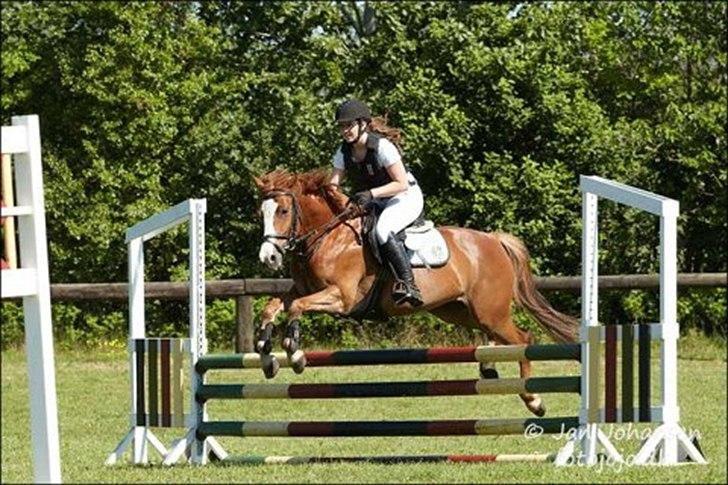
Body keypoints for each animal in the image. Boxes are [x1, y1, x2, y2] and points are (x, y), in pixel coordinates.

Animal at [252, 168, 578, 417]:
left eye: (283, 211)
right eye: (261, 214)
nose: (269, 257)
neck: (330, 237)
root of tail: (494, 240)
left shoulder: (341, 298)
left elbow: (297, 307)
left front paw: (295, 354)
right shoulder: (302, 290)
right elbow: (273, 306)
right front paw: (267, 356)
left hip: (490, 312)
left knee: (523, 339)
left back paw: (534, 400)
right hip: (459, 311)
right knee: (495, 336)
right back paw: (487, 365)